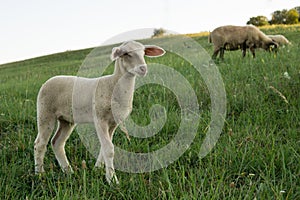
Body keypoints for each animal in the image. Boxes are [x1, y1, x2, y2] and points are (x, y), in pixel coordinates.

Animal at [34, 40, 166, 184]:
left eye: (143, 52)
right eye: (126, 54)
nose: (143, 69)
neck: (113, 84)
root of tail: (47, 81)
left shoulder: (113, 123)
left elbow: (104, 147)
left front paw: (97, 169)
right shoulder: (100, 119)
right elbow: (109, 149)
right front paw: (112, 180)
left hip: (66, 119)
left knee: (57, 142)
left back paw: (68, 171)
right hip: (45, 112)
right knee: (39, 144)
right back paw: (40, 175)